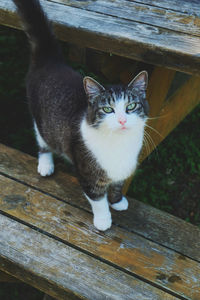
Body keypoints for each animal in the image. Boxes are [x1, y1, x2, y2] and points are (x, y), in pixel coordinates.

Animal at [11, 0, 148, 231]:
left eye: (131, 106)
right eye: (108, 109)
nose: (122, 120)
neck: (120, 144)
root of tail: (50, 59)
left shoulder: (123, 167)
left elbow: (117, 184)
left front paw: (118, 201)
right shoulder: (87, 172)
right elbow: (97, 198)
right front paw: (103, 220)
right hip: (41, 119)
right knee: (42, 139)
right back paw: (45, 164)